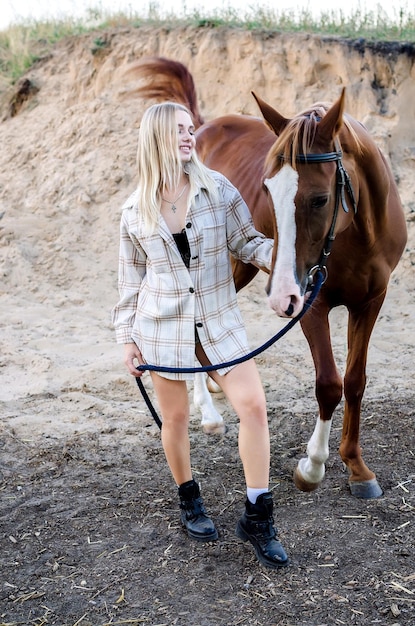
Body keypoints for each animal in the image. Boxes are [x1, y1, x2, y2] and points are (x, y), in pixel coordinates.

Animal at [132, 57, 408, 498]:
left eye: (320, 199)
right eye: (267, 191)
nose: (280, 298)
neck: (358, 234)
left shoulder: (371, 301)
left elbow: (355, 381)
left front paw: (357, 467)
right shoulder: (312, 303)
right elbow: (328, 384)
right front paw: (312, 466)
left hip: (241, 266)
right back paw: (207, 412)